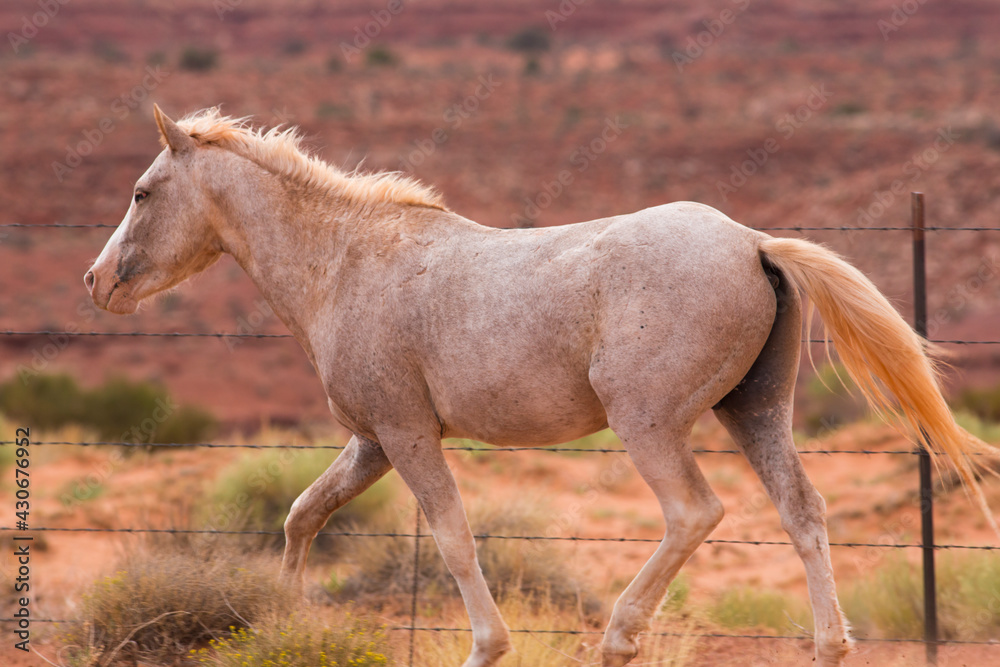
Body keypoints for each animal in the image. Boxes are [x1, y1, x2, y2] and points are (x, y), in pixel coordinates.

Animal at [85, 105, 998, 667]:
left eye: (140, 191)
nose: (95, 283)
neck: (345, 263)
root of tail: (754, 244)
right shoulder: (372, 440)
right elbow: (303, 514)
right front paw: (283, 620)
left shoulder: (407, 435)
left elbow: (453, 538)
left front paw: (486, 646)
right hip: (755, 410)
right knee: (803, 512)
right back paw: (829, 645)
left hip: (650, 421)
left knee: (694, 511)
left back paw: (620, 637)